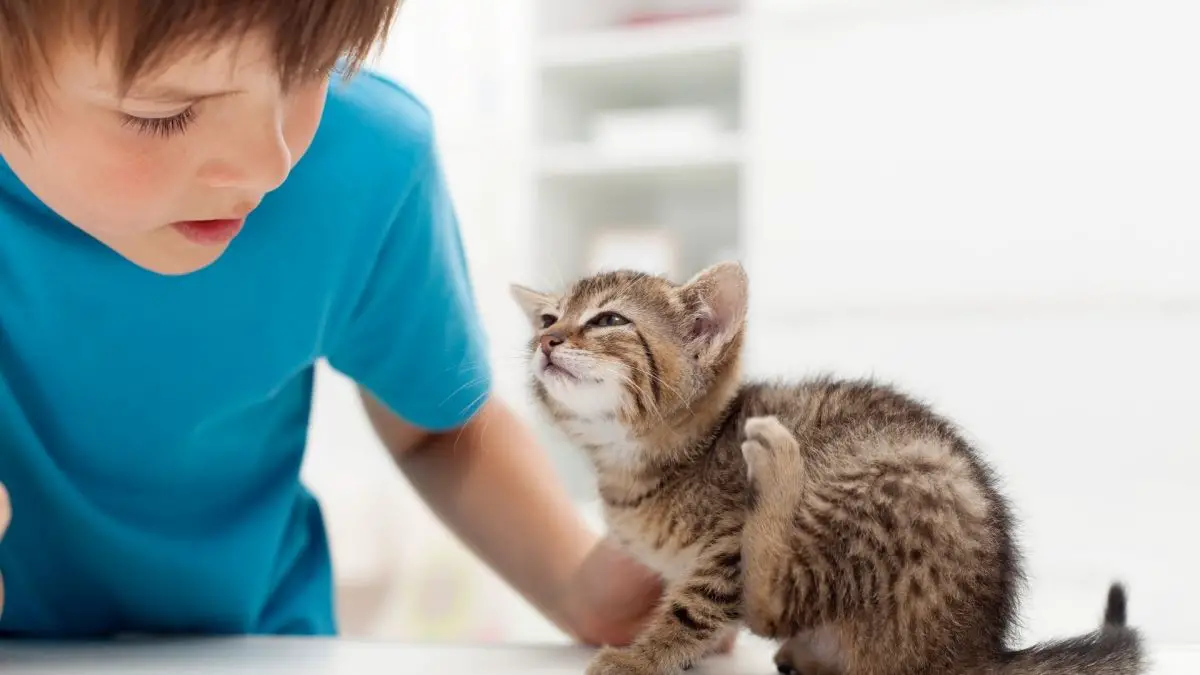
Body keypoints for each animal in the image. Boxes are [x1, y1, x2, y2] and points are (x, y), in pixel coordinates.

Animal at [506, 261, 1142, 672]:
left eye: (609, 320)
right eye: (548, 319)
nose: (546, 341)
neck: (637, 462)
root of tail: (971, 649)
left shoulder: (724, 549)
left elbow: (698, 609)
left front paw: (642, 656)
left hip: (882, 479)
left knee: (774, 604)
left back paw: (778, 464)